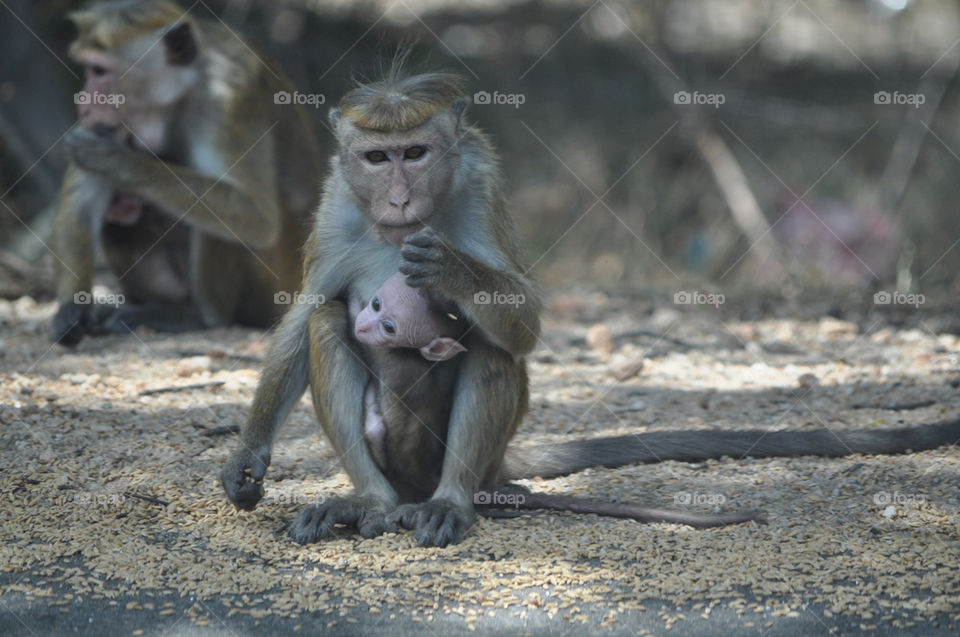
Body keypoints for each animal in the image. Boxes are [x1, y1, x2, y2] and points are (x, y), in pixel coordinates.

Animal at [50, 0, 320, 346]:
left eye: (99, 71)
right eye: (86, 69)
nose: (83, 104)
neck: (183, 89)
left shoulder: (228, 99)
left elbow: (258, 217)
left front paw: (119, 161)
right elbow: (84, 204)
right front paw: (73, 306)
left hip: (280, 283)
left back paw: (198, 317)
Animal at [221, 71, 960, 548]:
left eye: (416, 154)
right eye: (378, 158)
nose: (400, 199)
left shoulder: (480, 184)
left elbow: (518, 319)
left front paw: (456, 272)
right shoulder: (336, 204)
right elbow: (304, 314)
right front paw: (248, 458)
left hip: (473, 465)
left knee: (491, 345)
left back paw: (451, 502)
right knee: (327, 324)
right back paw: (367, 503)